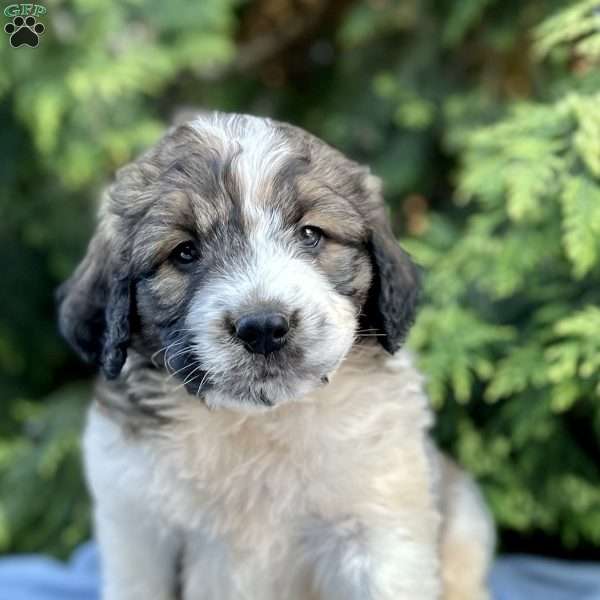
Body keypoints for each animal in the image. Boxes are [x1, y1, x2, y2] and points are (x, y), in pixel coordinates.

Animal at [58, 112, 494, 600]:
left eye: (310, 234)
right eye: (184, 252)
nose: (263, 327)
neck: (258, 422)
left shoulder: (378, 525)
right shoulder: (138, 529)